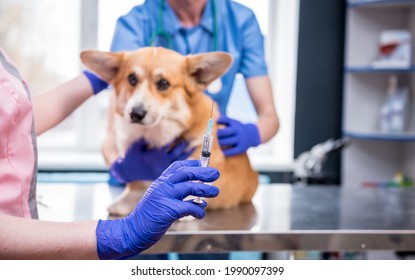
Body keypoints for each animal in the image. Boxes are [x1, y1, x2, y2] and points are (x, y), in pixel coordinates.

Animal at [79, 47, 258, 217]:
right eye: (132, 79)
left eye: (163, 83)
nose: (136, 113)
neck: (154, 134)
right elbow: (135, 181)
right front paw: (126, 202)